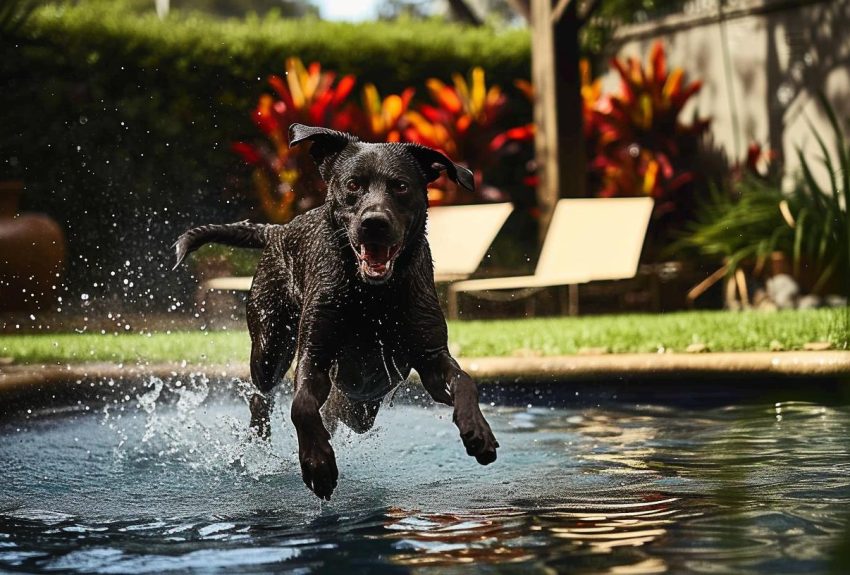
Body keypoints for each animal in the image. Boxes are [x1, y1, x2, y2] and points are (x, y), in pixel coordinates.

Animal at [176, 125, 500, 500]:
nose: (374, 223)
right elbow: (301, 405)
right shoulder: (315, 354)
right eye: (353, 185)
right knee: (261, 398)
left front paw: (478, 431)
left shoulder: (431, 359)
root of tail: (277, 229)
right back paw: (259, 443)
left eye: (401, 186)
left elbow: (463, 381)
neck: (372, 297)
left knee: (337, 411)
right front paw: (317, 463)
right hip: (270, 347)